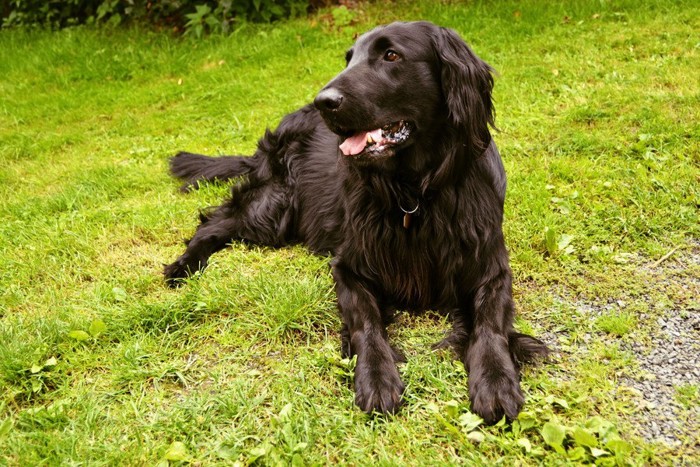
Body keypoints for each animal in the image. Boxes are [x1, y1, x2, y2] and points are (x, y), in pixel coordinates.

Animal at [164, 21, 548, 424]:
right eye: (349, 59)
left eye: (391, 55)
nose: (324, 102)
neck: (415, 193)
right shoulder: (350, 266)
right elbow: (367, 325)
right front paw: (376, 377)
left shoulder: (490, 265)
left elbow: (490, 322)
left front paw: (496, 378)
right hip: (276, 209)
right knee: (216, 221)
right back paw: (183, 266)